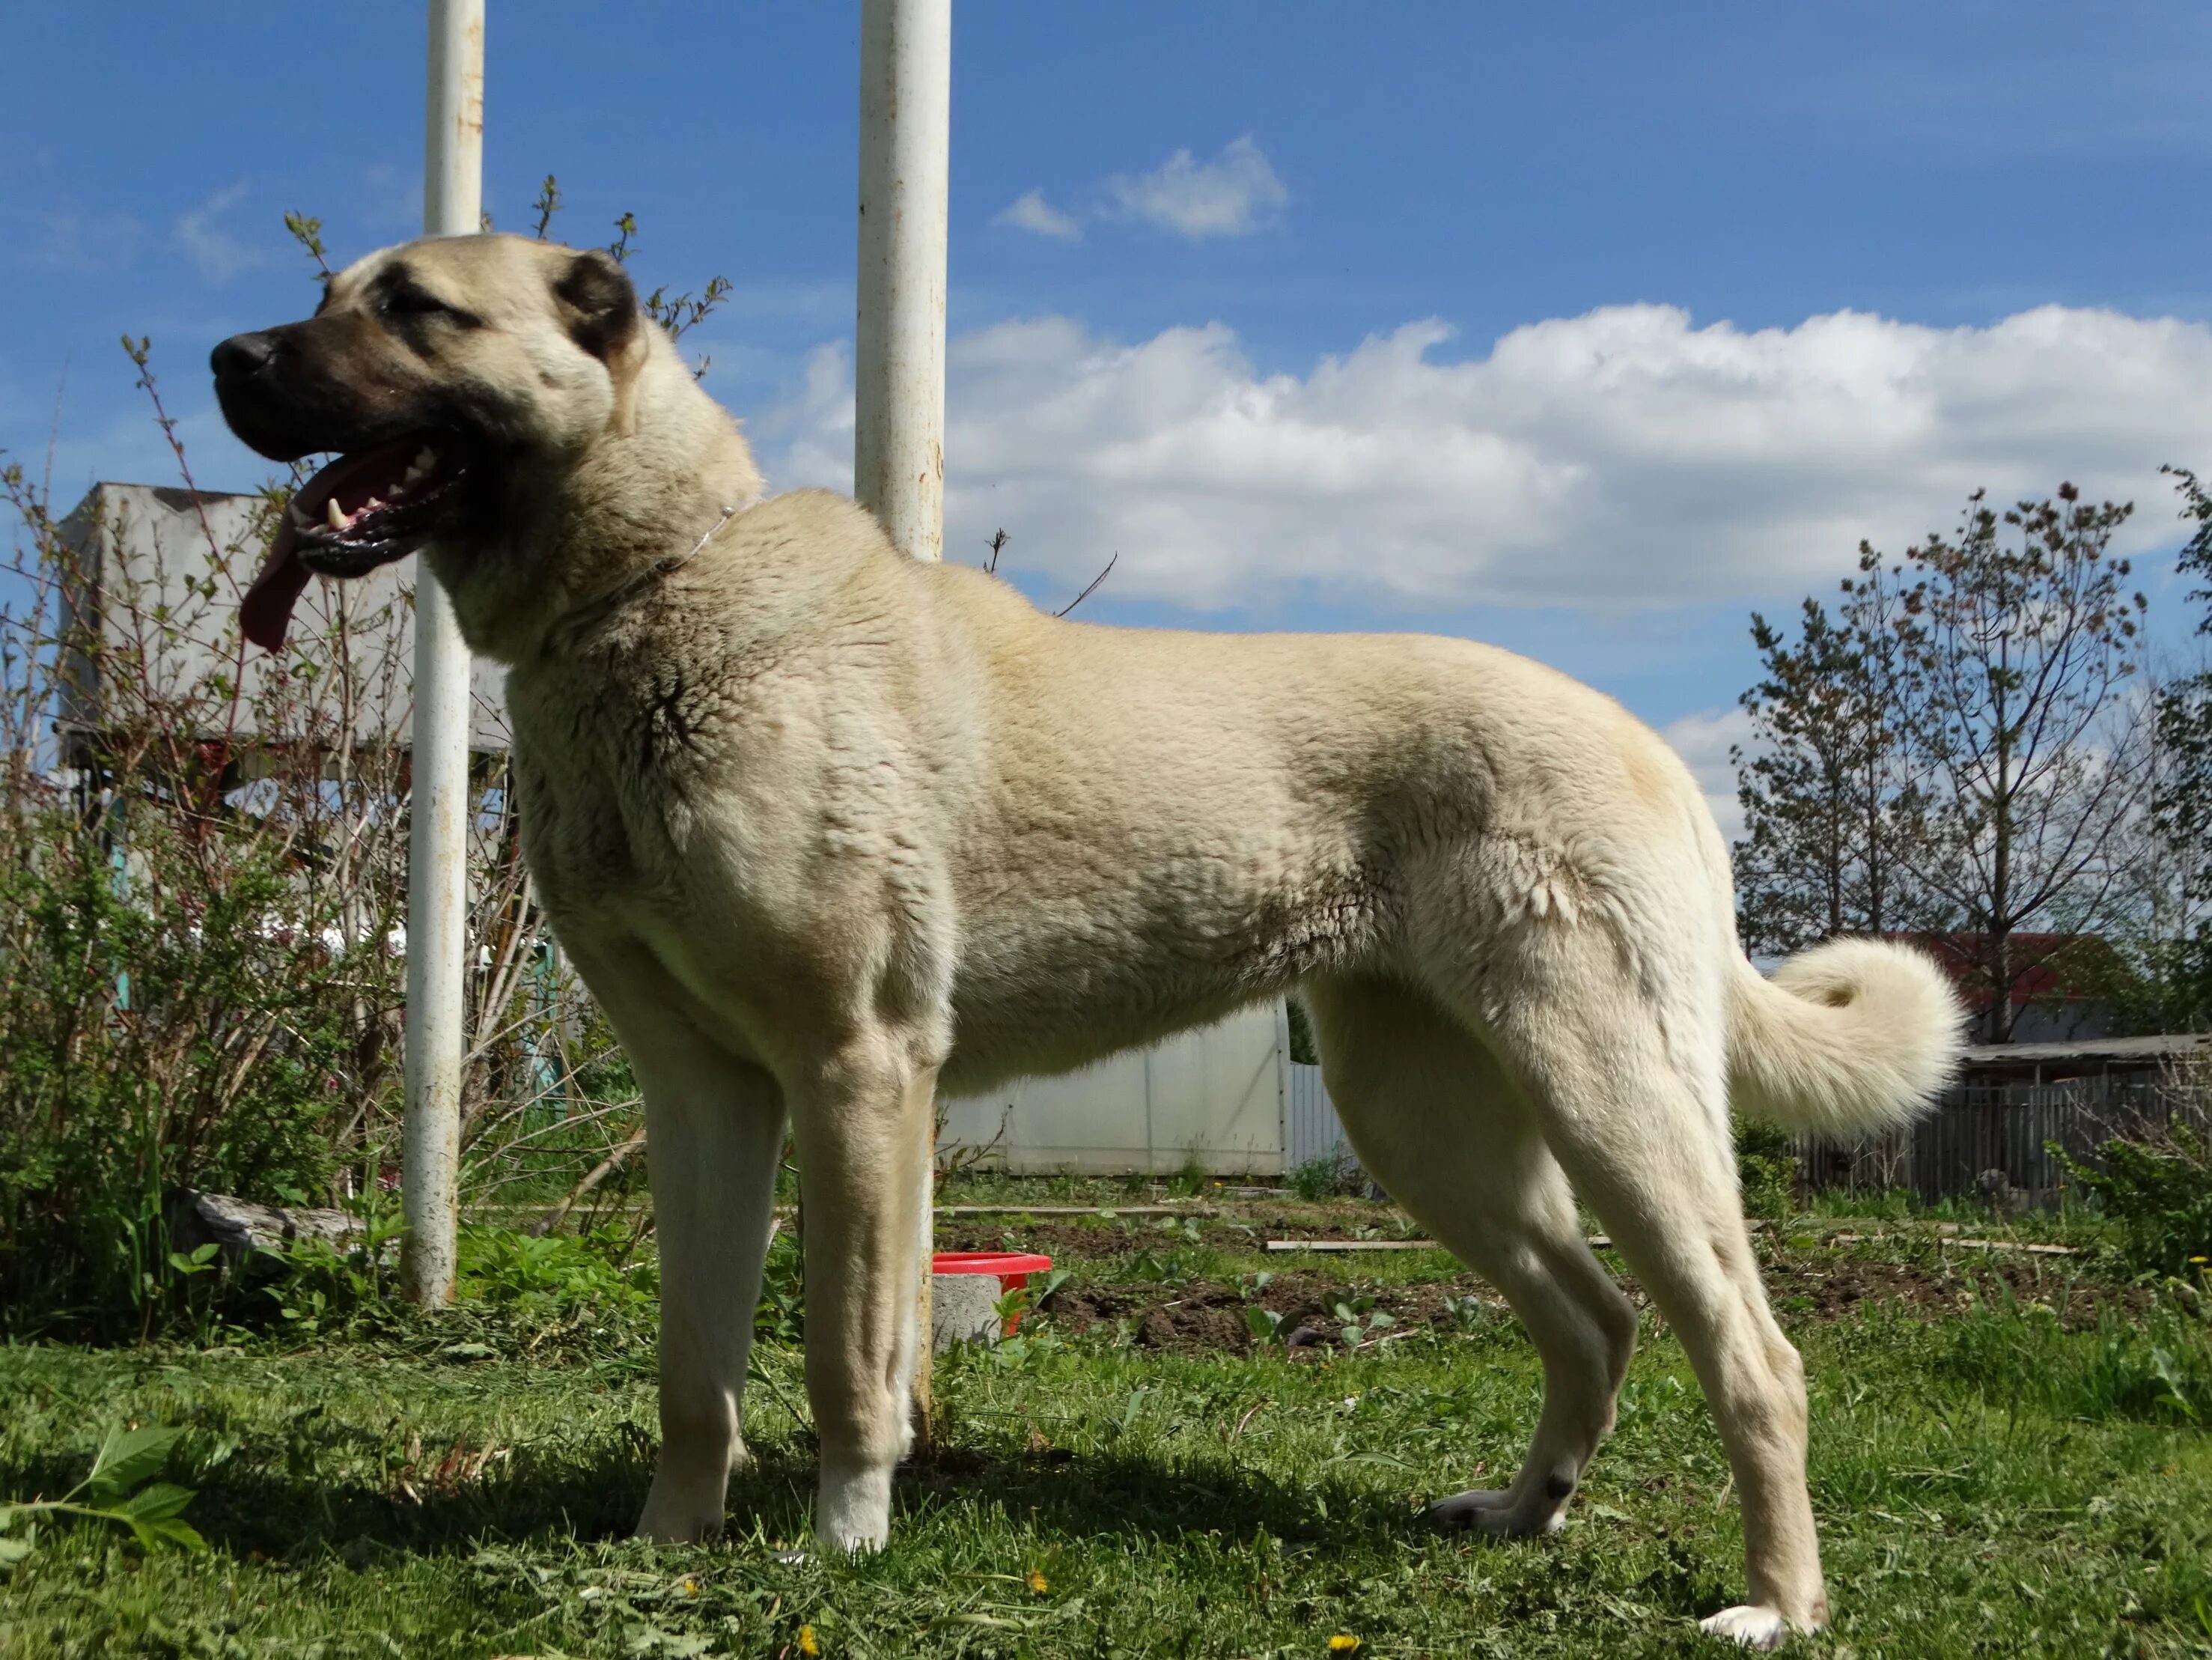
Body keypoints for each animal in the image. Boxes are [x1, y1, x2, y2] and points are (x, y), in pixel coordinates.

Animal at [216, 234, 1964, 1656]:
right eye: (327, 291)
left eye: (413, 309)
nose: (229, 357)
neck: (650, 595)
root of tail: (1648, 741)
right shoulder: (705, 1094)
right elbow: (694, 1368)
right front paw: (669, 1546)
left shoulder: (856, 1073)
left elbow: (847, 1359)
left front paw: (841, 1549)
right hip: (1428, 1121)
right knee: (1593, 1319)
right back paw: (1519, 1516)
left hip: (1612, 1095)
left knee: (1753, 1352)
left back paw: (1775, 1604)